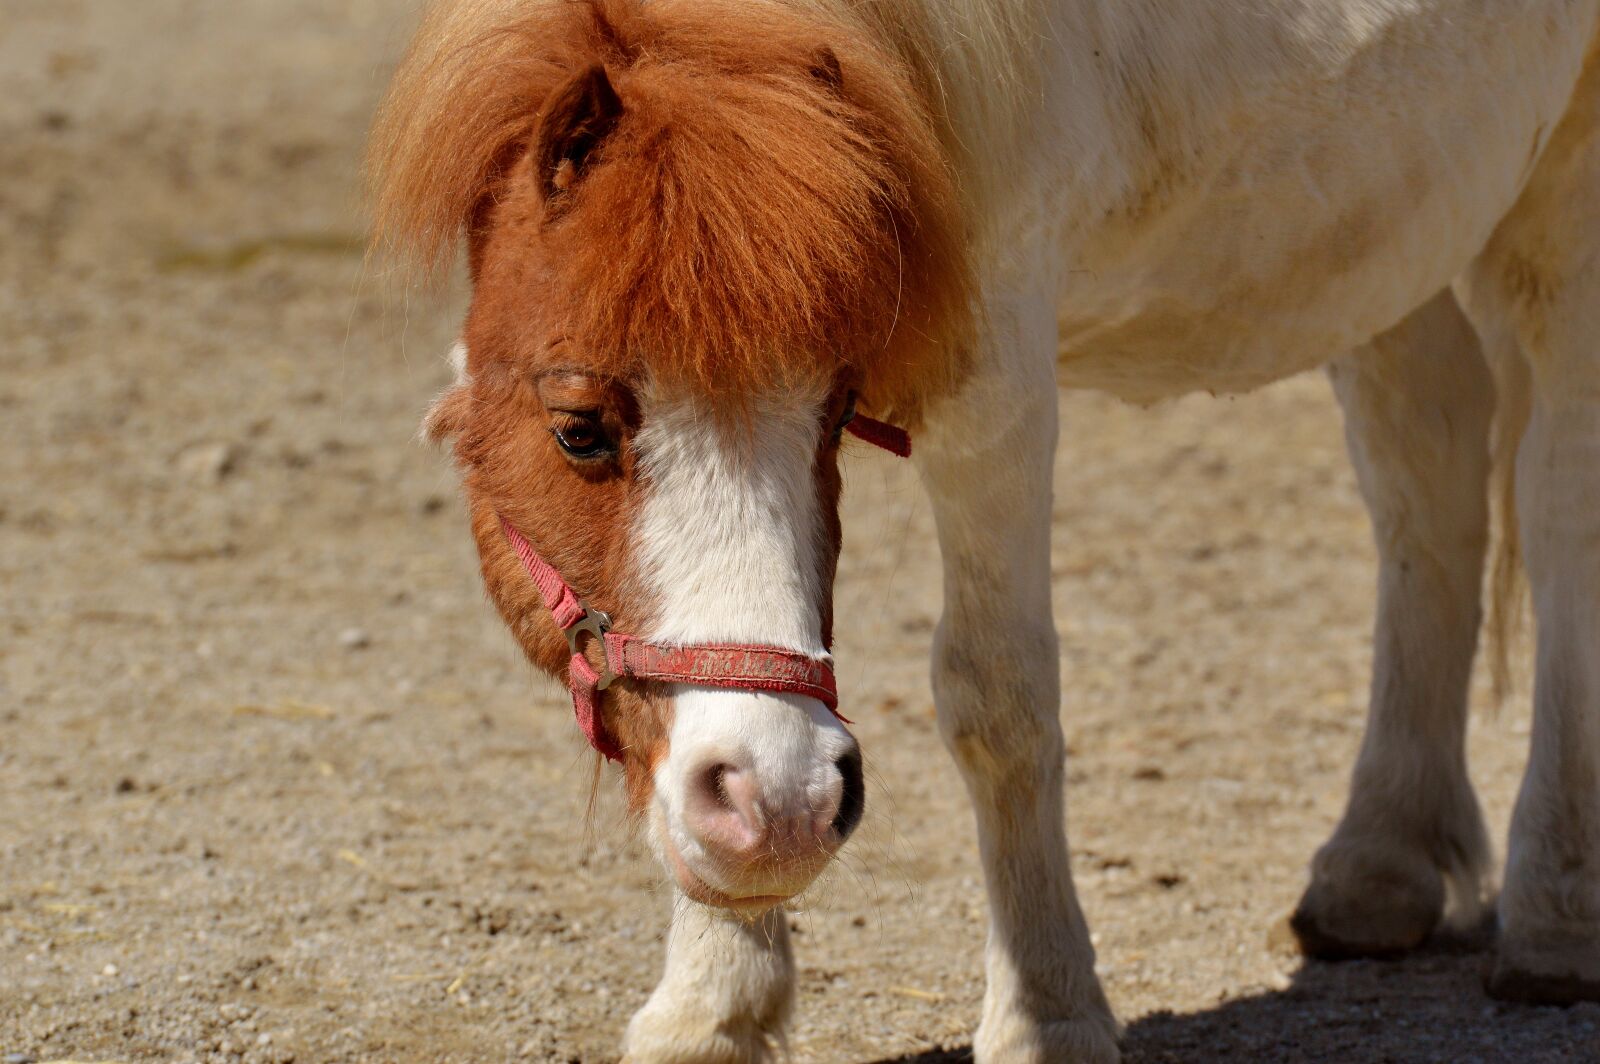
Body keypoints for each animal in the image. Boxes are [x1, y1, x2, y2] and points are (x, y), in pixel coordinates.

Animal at [368, 0, 1600, 1059]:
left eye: (837, 406)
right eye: (579, 429)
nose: (781, 801)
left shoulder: (992, 375)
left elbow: (996, 697)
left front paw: (1046, 1015)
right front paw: (712, 1004)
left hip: (1557, 204)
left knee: (1555, 507)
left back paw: (1556, 913)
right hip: (1398, 232)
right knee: (1429, 484)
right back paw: (1379, 867)